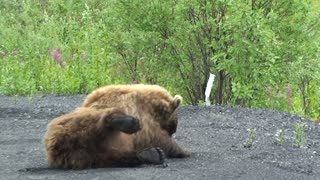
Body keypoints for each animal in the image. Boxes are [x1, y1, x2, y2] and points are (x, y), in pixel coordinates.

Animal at [44, 84, 190, 169]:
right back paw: (127, 123)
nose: (173, 131)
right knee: (96, 120)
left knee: (115, 157)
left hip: (90, 155)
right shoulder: (143, 117)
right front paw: (182, 151)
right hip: (70, 125)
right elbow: (157, 136)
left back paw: (151, 155)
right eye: (173, 126)